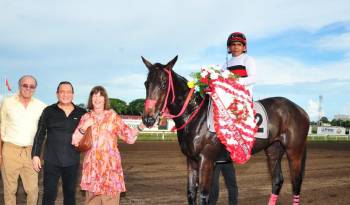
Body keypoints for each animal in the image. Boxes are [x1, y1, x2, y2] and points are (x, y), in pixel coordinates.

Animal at [141, 55, 310, 204]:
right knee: (277, 181)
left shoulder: (206, 159)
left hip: (294, 150)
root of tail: (300, 110)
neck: (195, 115)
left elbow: (203, 195)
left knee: (296, 183)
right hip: (273, 149)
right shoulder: (191, 160)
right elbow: (190, 193)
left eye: (164, 83)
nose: (148, 118)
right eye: (146, 83)